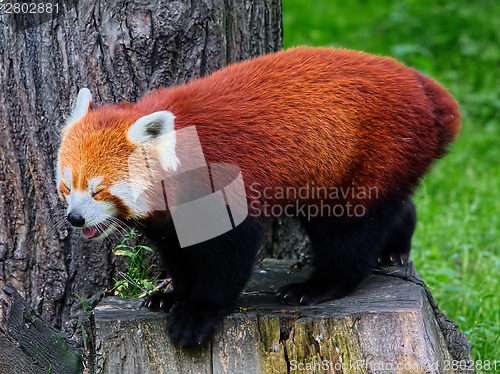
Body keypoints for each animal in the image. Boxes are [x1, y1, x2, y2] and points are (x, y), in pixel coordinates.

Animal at [57, 46, 460, 348]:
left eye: (98, 190)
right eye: (67, 186)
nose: (75, 218)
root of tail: (422, 86)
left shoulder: (224, 186)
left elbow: (229, 256)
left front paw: (198, 311)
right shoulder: (172, 218)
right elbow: (180, 251)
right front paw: (173, 295)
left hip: (373, 151)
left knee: (348, 230)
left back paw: (318, 286)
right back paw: (396, 245)